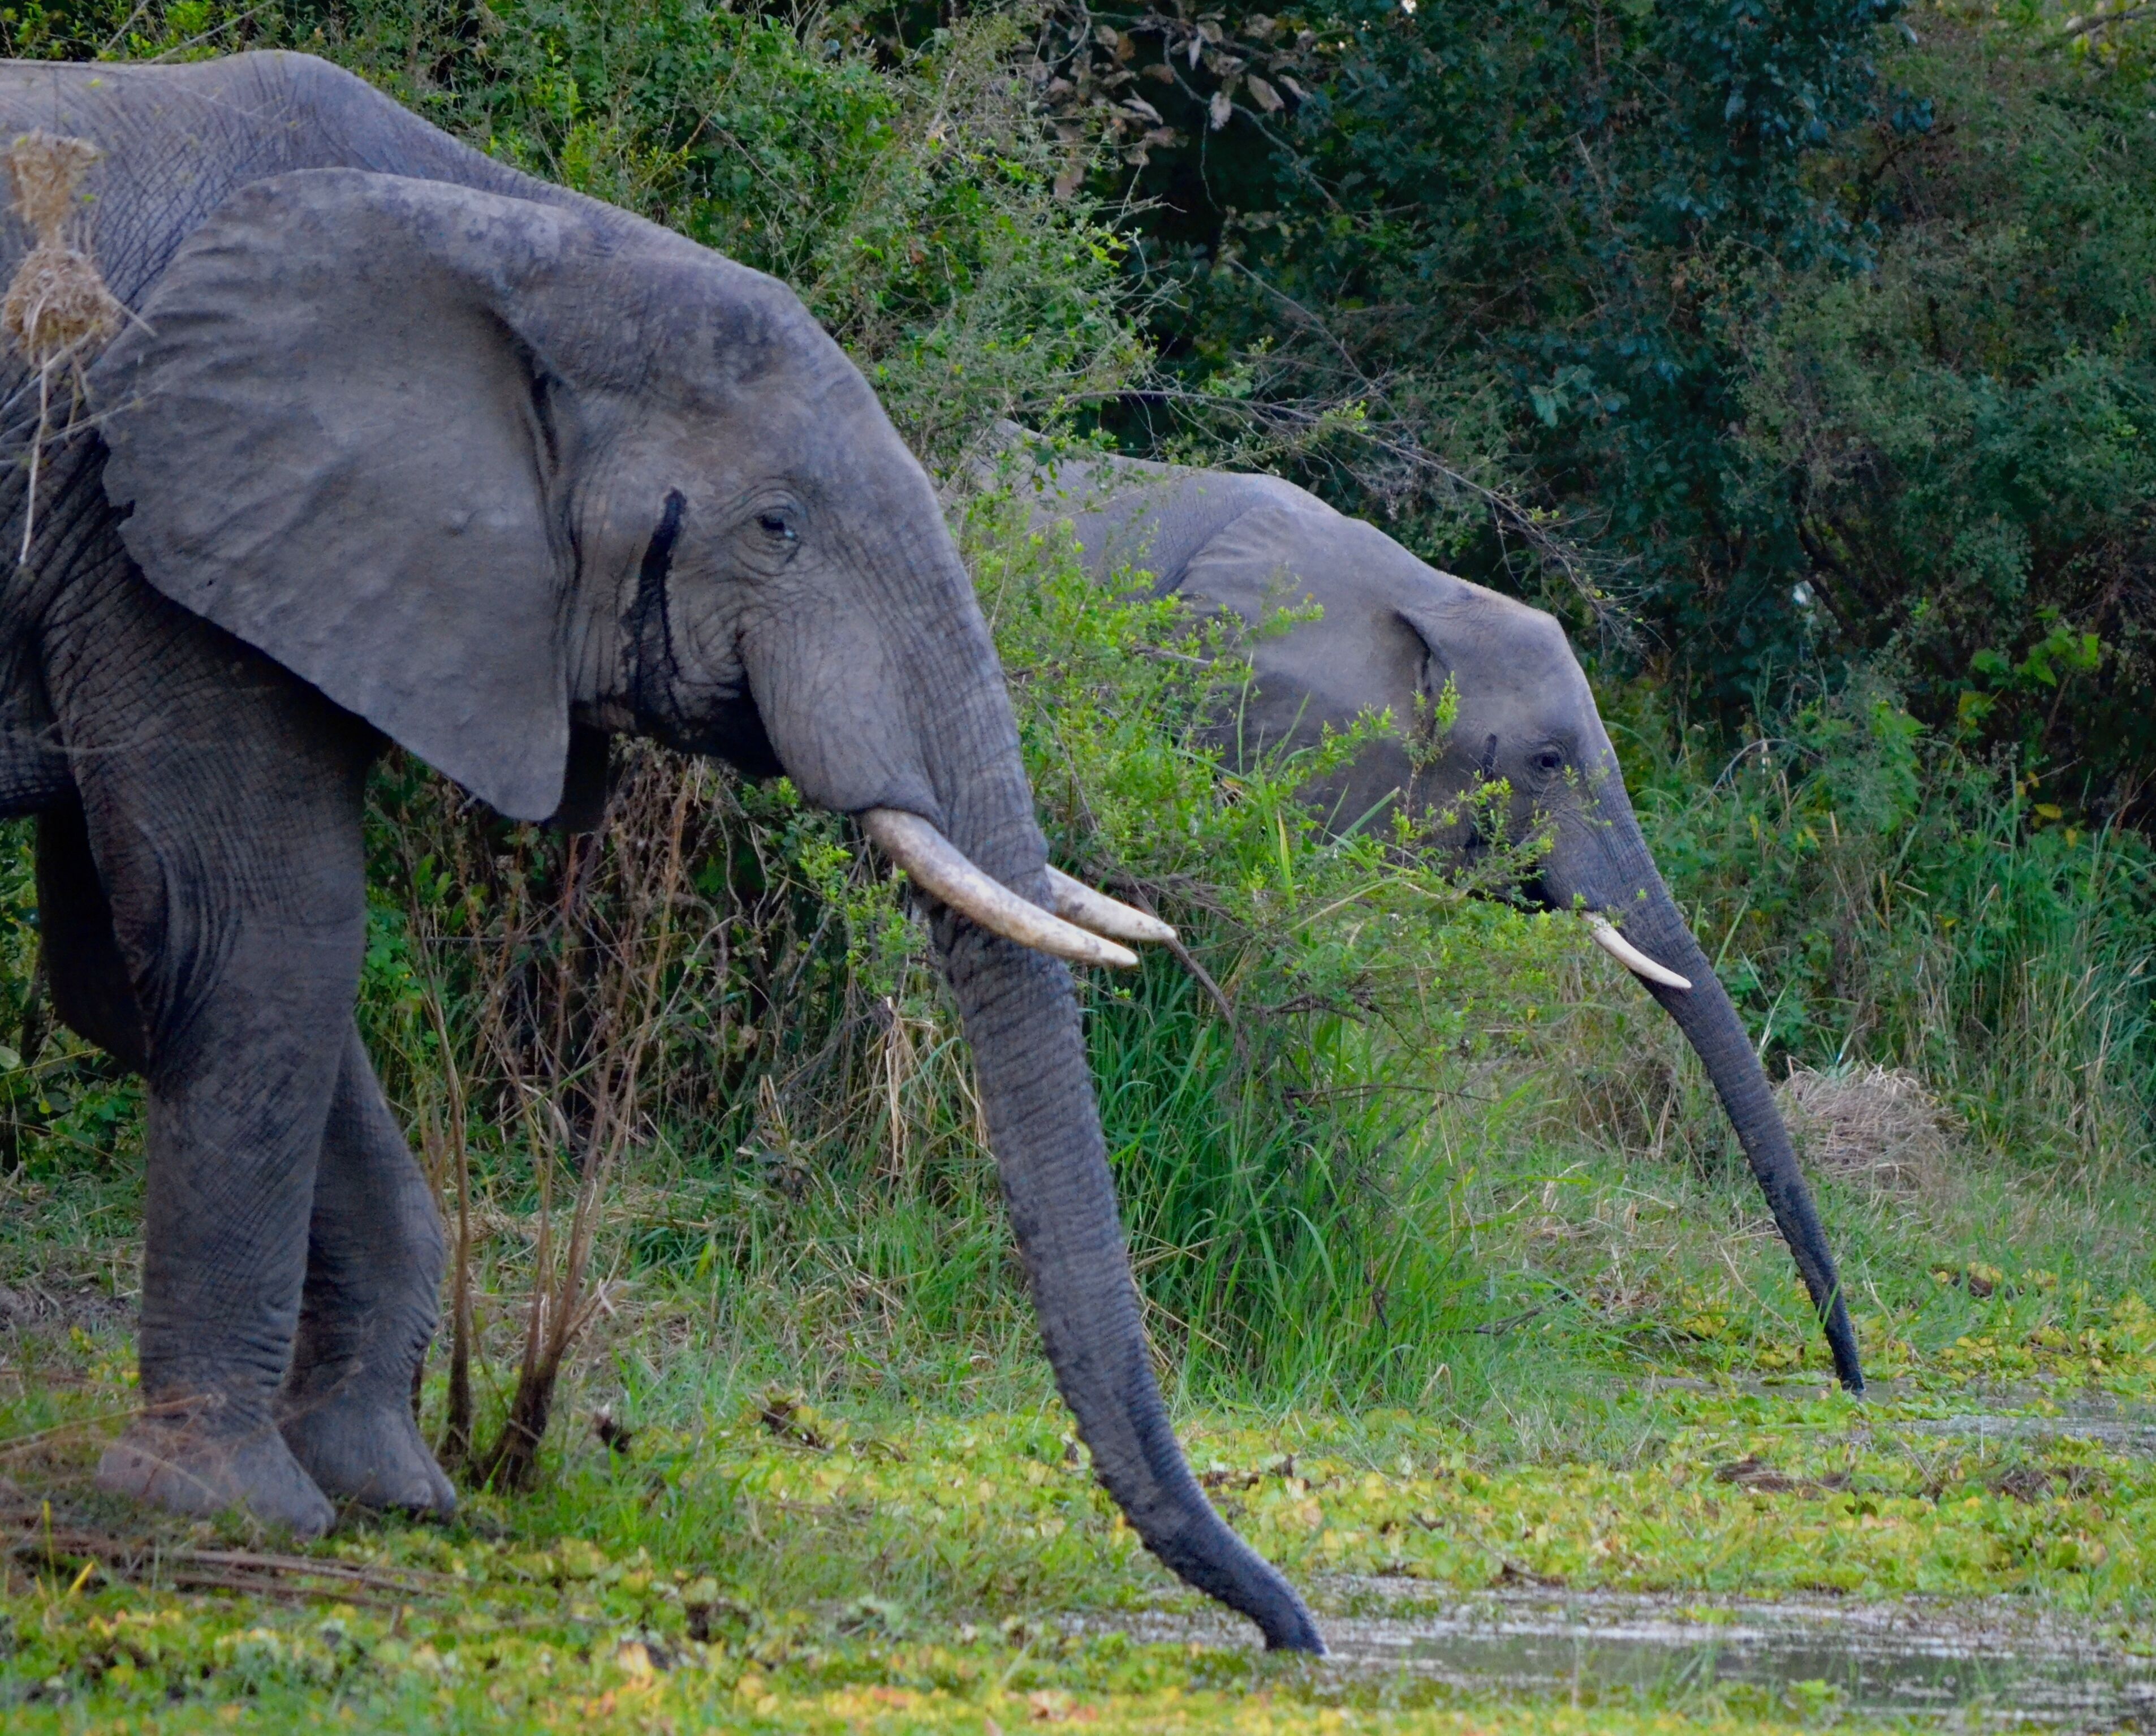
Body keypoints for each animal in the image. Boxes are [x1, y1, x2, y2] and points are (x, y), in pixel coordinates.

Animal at [0, 53, 1325, 1651]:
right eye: (777, 526)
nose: (1294, 1632)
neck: (514, 229)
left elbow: (137, 975)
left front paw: (390, 1488)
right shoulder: (142, 509)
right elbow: (255, 938)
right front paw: (230, 1509)